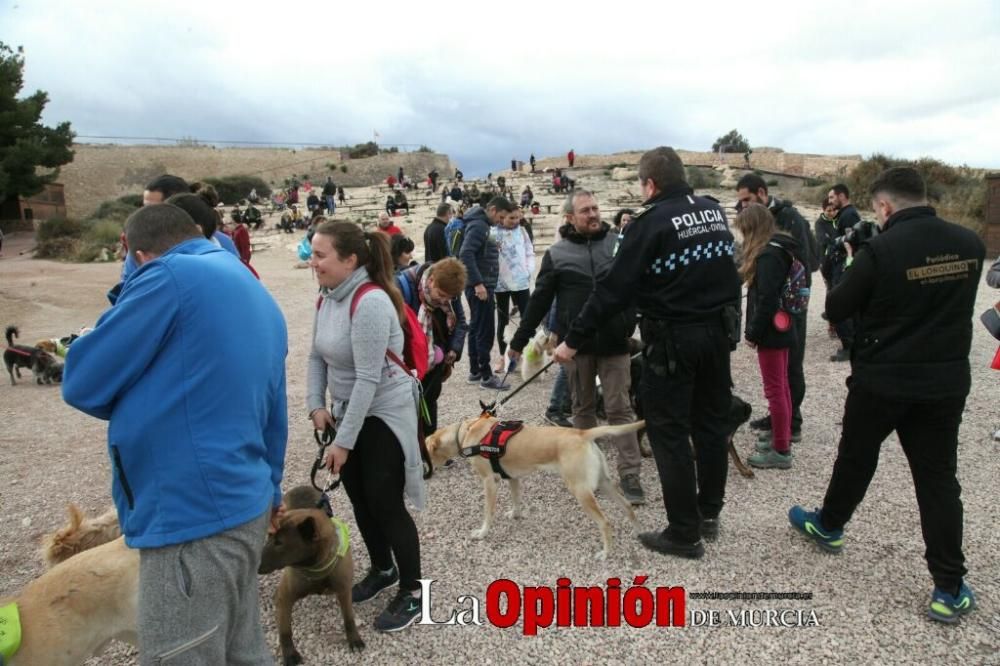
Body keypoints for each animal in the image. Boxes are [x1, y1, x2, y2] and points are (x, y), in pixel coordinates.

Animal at [260, 486, 366, 660]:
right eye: (270, 536)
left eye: (279, 543)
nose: (257, 563)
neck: (316, 566)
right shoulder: (284, 598)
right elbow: (285, 631)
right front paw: (290, 655)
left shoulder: (344, 591)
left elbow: (349, 618)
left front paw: (354, 639)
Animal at [422, 418, 640, 556]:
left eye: (426, 452)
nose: (423, 473)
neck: (466, 433)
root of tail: (581, 433)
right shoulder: (512, 478)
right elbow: (516, 500)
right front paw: (515, 514)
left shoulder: (490, 482)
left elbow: (488, 513)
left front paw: (482, 533)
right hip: (603, 483)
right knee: (627, 505)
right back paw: (636, 532)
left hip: (580, 490)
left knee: (605, 522)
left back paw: (606, 553)